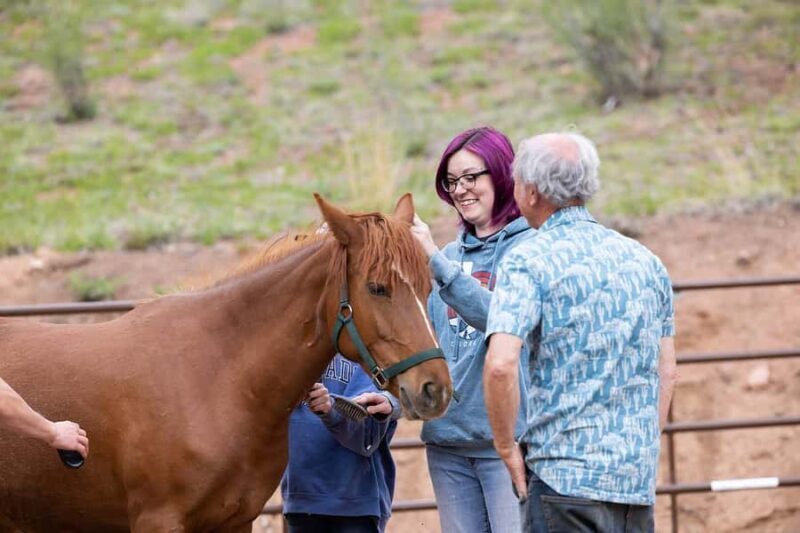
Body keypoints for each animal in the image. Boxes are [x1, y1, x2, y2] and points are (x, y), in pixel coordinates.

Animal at [0, 193, 452, 532]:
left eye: (427, 287)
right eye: (377, 288)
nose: (436, 388)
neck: (218, 379)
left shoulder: (235, 521)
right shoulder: (158, 522)